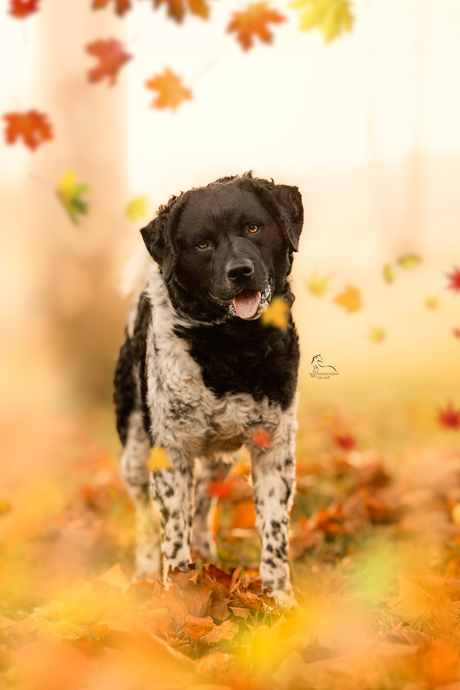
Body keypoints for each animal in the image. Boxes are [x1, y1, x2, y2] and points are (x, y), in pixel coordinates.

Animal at [113, 172, 304, 600]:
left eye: (253, 227)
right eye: (202, 243)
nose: (240, 271)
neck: (232, 344)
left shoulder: (273, 446)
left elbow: (274, 532)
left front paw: (280, 599)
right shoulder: (170, 452)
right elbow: (171, 534)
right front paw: (177, 597)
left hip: (222, 458)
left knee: (201, 500)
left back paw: (205, 553)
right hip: (134, 450)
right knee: (147, 518)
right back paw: (144, 574)